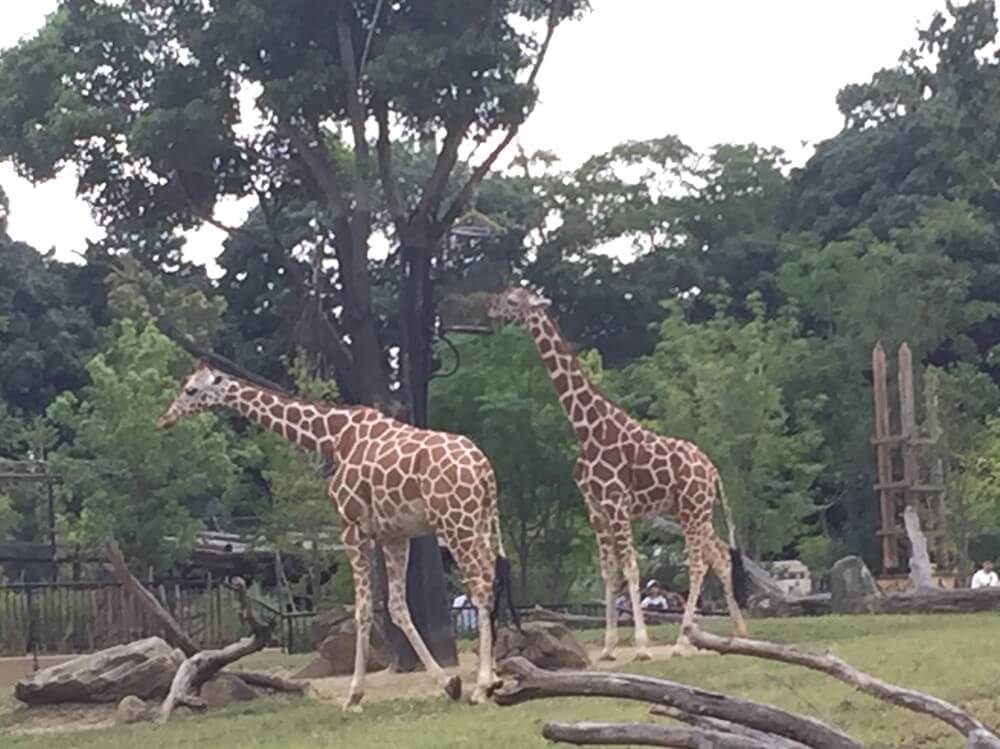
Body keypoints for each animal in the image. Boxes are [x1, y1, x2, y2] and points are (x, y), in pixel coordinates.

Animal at [158, 360, 516, 708]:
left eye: (190, 390)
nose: (164, 419)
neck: (332, 436)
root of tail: (485, 470)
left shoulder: (351, 526)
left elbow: (362, 609)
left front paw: (354, 696)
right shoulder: (394, 534)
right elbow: (397, 607)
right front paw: (448, 683)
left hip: (457, 523)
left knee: (480, 588)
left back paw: (482, 687)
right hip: (479, 522)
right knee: (490, 581)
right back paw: (493, 680)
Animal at [488, 290, 748, 656]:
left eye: (513, 300)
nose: (490, 308)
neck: (587, 429)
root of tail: (713, 471)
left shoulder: (617, 504)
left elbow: (631, 568)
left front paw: (641, 645)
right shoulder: (596, 509)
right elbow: (609, 573)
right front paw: (609, 647)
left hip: (694, 510)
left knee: (699, 564)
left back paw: (682, 641)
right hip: (690, 512)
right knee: (721, 556)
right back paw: (739, 632)